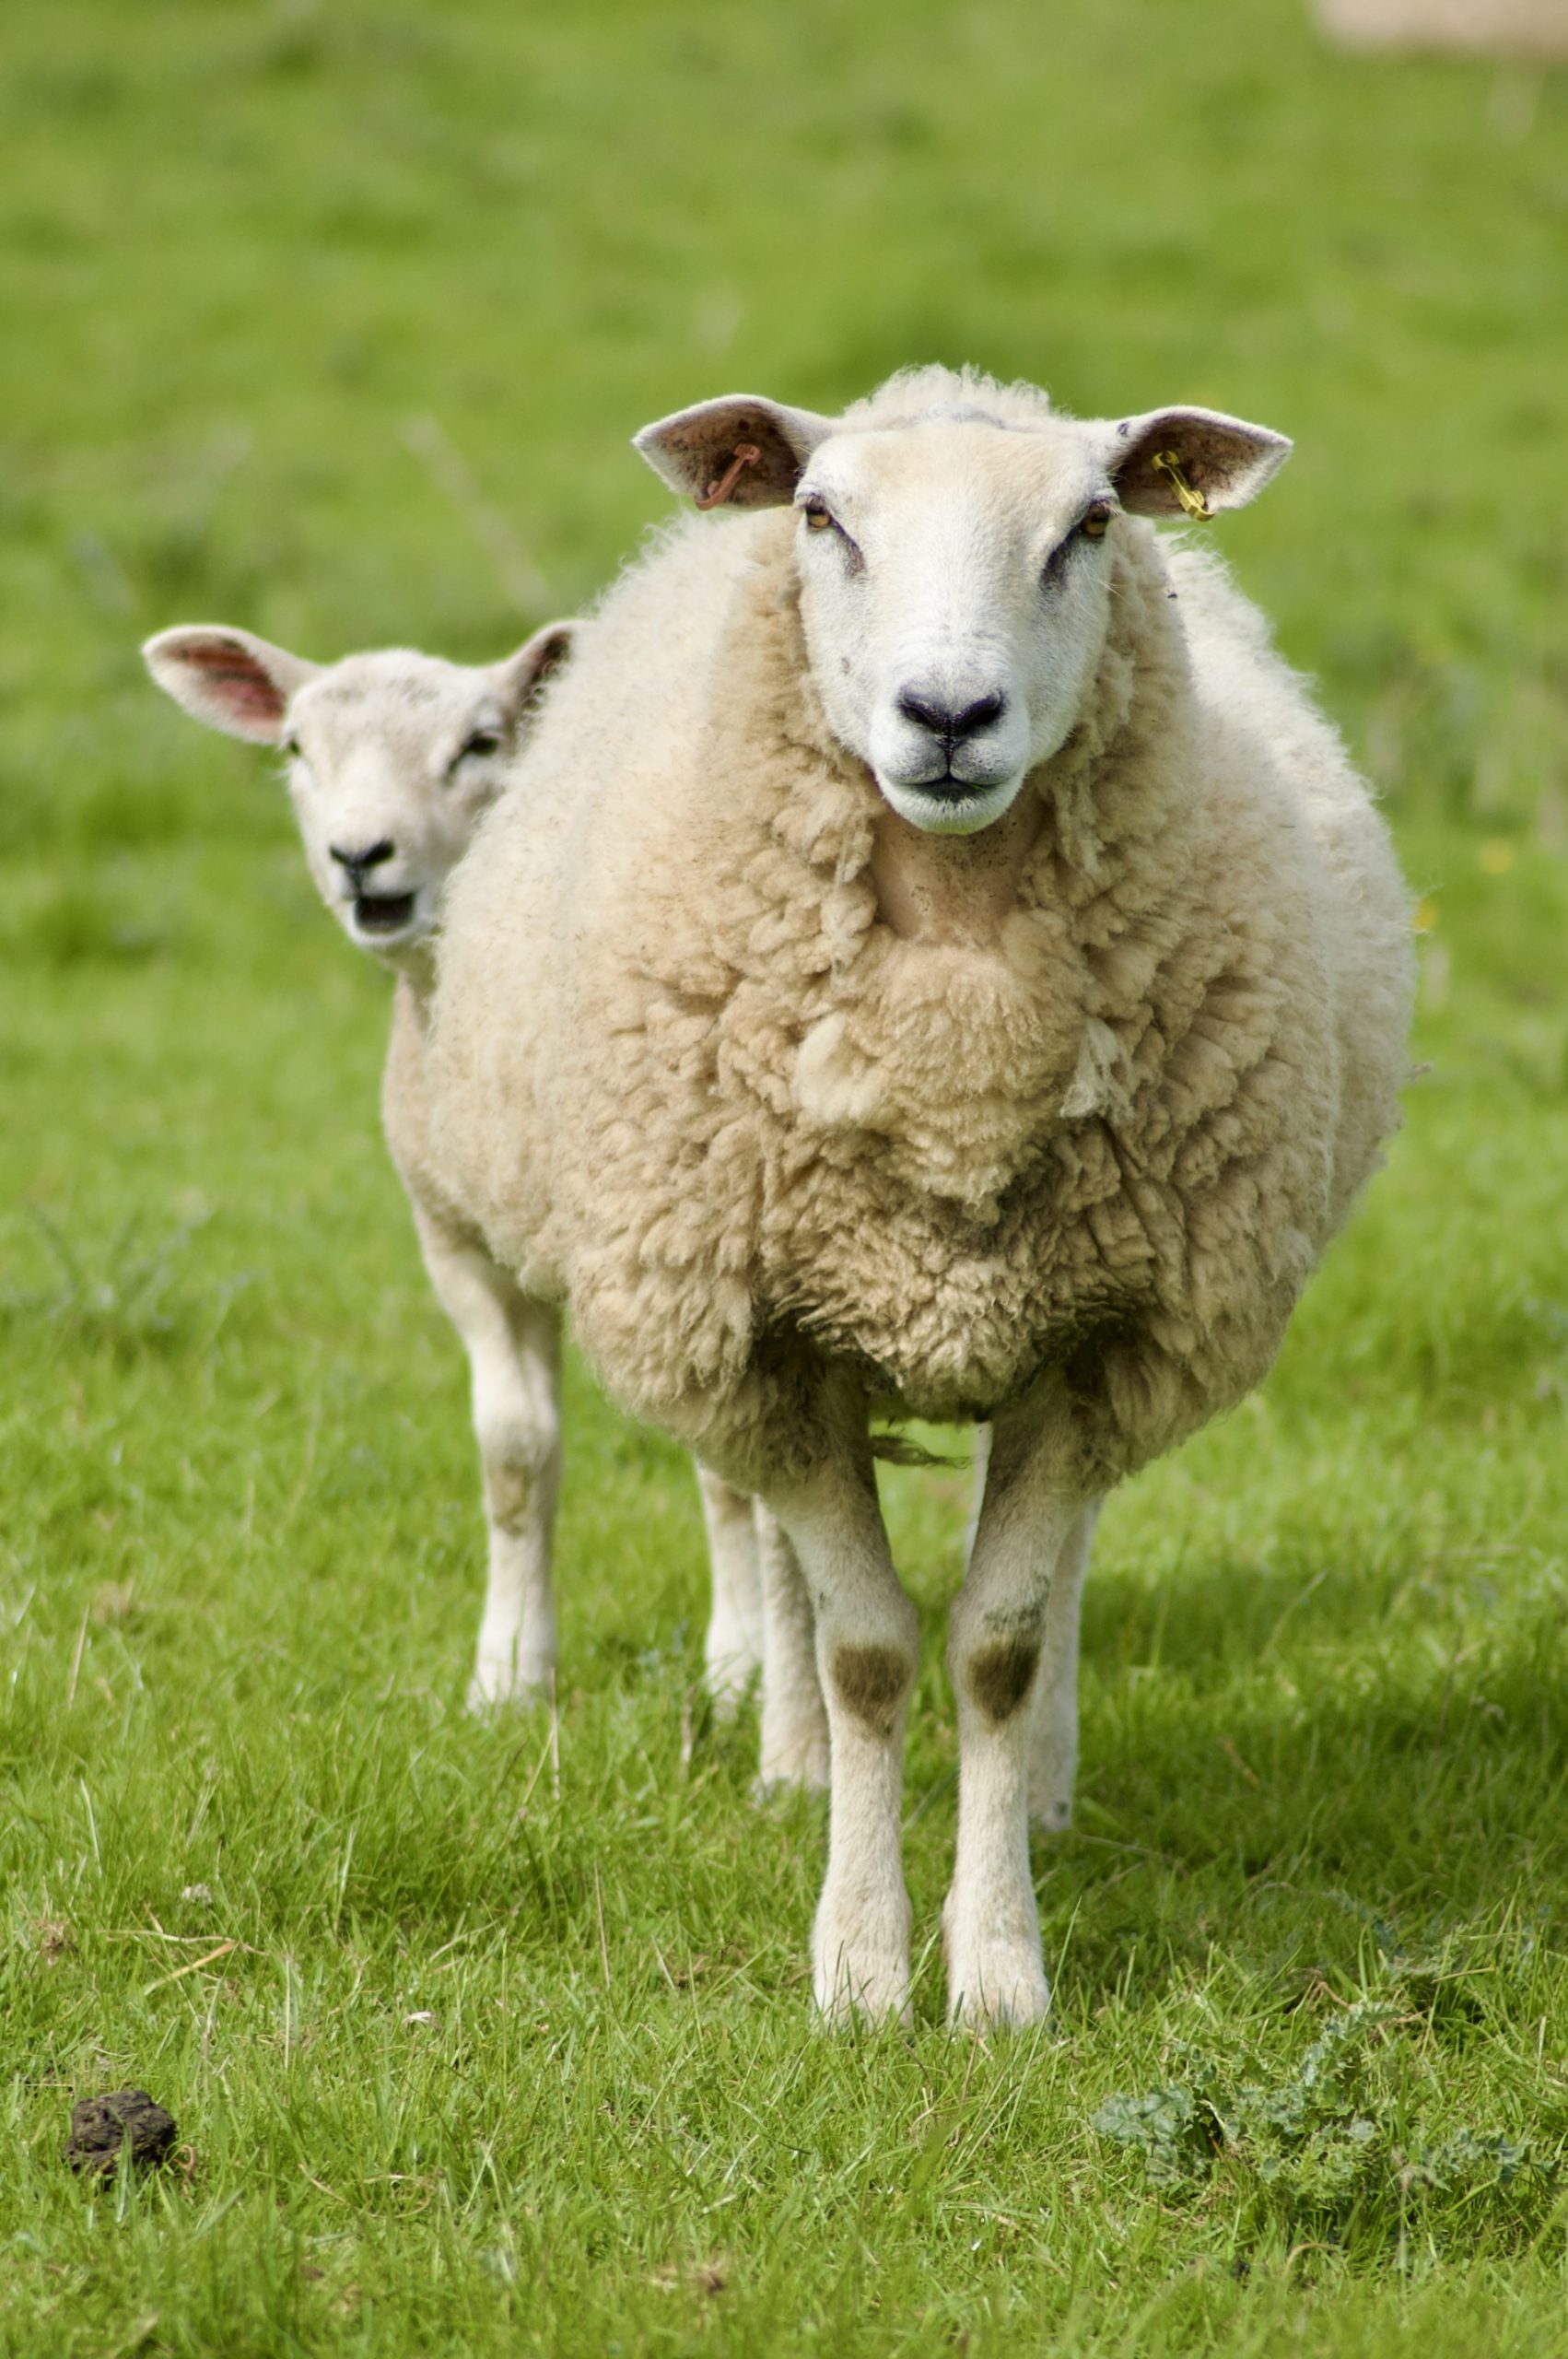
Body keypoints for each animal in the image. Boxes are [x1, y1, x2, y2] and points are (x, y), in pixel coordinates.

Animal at [141, 620, 771, 1717]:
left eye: (480, 743)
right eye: (297, 747)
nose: (360, 856)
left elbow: (724, 1471)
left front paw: (742, 1671)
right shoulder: (459, 1244)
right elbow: (514, 1456)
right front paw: (510, 1676)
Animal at [424, 366, 1413, 2027]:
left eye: (1090, 526)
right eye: (825, 520)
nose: (948, 717)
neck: (956, 1032)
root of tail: (951, 382)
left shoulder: (1099, 1338)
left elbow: (996, 1647)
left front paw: (999, 1971)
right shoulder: (769, 1342)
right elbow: (868, 1653)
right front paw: (862, 1966)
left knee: (1056, 1578)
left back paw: (1050, 1788)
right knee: (778, 1568)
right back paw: (790, 1765)